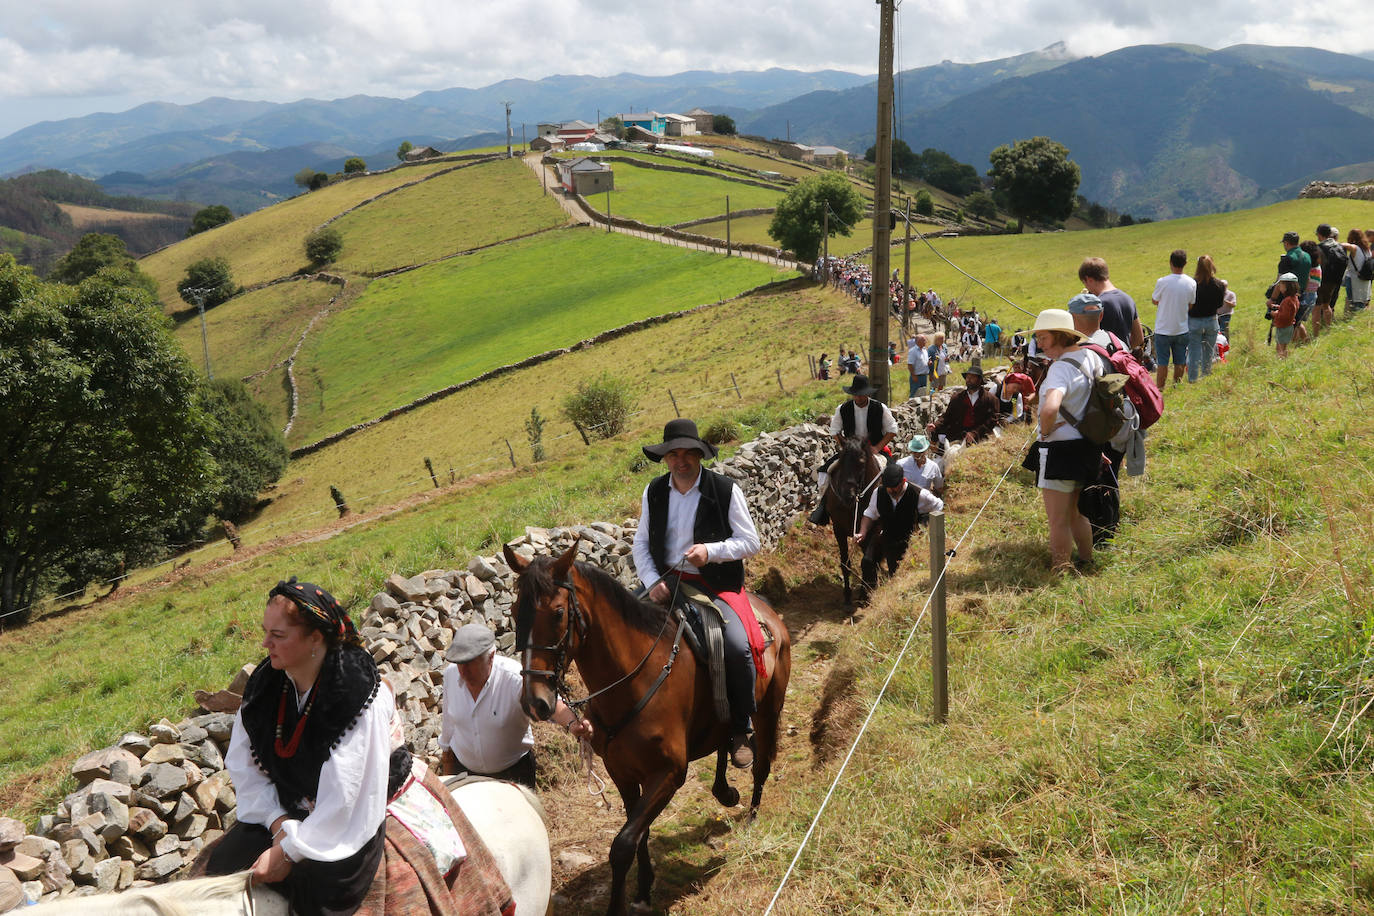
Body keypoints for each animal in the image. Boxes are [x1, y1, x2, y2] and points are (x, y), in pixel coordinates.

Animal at [505, 541, 791, 916]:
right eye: (514, 611)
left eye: (557, 613)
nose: (534, 701)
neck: (633, 678)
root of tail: (768, 613)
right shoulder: (623, 774)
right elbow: (638, 834)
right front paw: (642, 888)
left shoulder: (668, 774)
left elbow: (624, 843)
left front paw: (622, 903)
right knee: (725, 740)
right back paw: (725, 790)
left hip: (769, 710)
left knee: (761, 765)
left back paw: (752, 818)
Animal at [824, 439, 879, 609]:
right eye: (841, 461)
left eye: (861, 463)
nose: (847, 495)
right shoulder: (839, 530)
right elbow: (845, 563)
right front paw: (848, 598)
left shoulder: (875, 529)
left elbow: (866, 561)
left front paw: (864, 595)